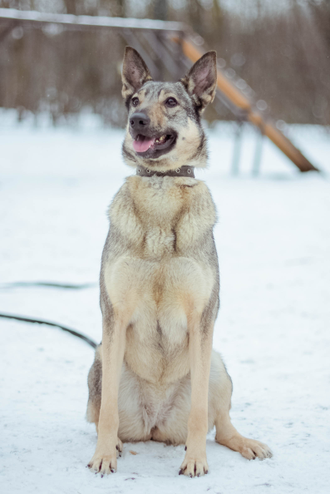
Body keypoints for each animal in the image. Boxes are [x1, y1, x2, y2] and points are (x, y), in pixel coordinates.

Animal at [85, 47, 274, 478]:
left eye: (171, 102)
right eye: (136, 101)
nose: (136, 120)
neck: (161, 185)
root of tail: (155, 425)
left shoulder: (202, 320)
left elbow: (200, 416)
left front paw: (196, 461)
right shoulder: (113, 316)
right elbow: (106, 414)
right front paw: (104, 456)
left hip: (217, 363)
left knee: (221, 425)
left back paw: (245, 443)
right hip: (101, 358)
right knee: (103, 414)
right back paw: (115, 443)